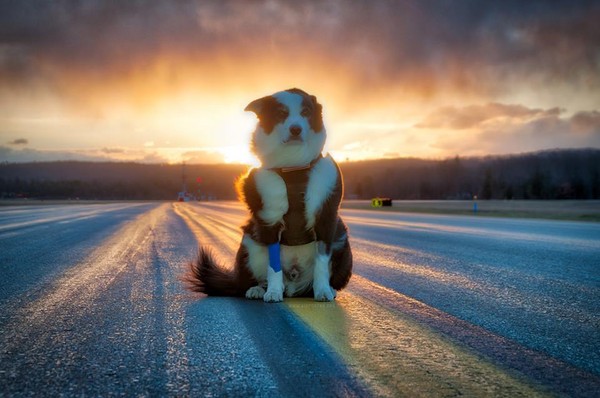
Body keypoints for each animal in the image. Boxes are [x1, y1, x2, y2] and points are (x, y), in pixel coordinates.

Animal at [186, 88, 352, 302]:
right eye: (281, 113)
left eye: (306, 112)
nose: (296, 129)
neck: (293, 166)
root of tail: (294, 285)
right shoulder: (269, 220)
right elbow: (273, 265)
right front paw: (273, 292)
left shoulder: (326, 216)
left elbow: (322, 261)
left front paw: (323, 290)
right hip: (249, 243)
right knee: (248, 281)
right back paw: (257, 289)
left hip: (342, 242)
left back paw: (327, 289)